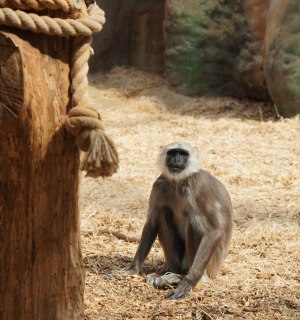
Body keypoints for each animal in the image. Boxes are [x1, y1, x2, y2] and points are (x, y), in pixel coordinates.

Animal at [127, 141, 233, 298]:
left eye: (183, 154)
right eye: (172, 153)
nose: (176, 160)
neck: (178, 183)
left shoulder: (197, 186)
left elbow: (214, 232)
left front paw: (188, 282)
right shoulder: (159, 184)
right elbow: (151, 223)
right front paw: (132, 270)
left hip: (209, 266)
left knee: (194, 221)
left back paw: (182, 278)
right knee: (163, 211)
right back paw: (171, 271)